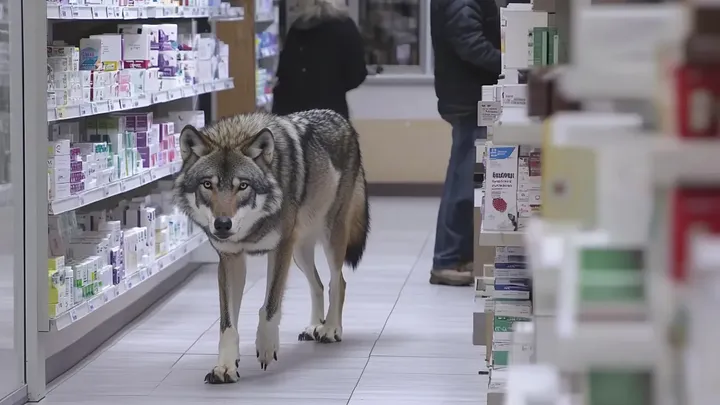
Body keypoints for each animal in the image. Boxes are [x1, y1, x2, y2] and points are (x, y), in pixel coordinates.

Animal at [173, 109, 370, 384]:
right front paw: (225, 367)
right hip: (300, 251)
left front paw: (266, 348)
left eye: (243, 185)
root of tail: (340, 117)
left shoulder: (280, 249)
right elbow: (227, 324)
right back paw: (314, 326)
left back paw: (330, 329)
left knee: (337, 281)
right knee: (318, 284)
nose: (222, 225)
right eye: (207, 184)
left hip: (330, 237)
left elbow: (270, 306)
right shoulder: (231, 258)